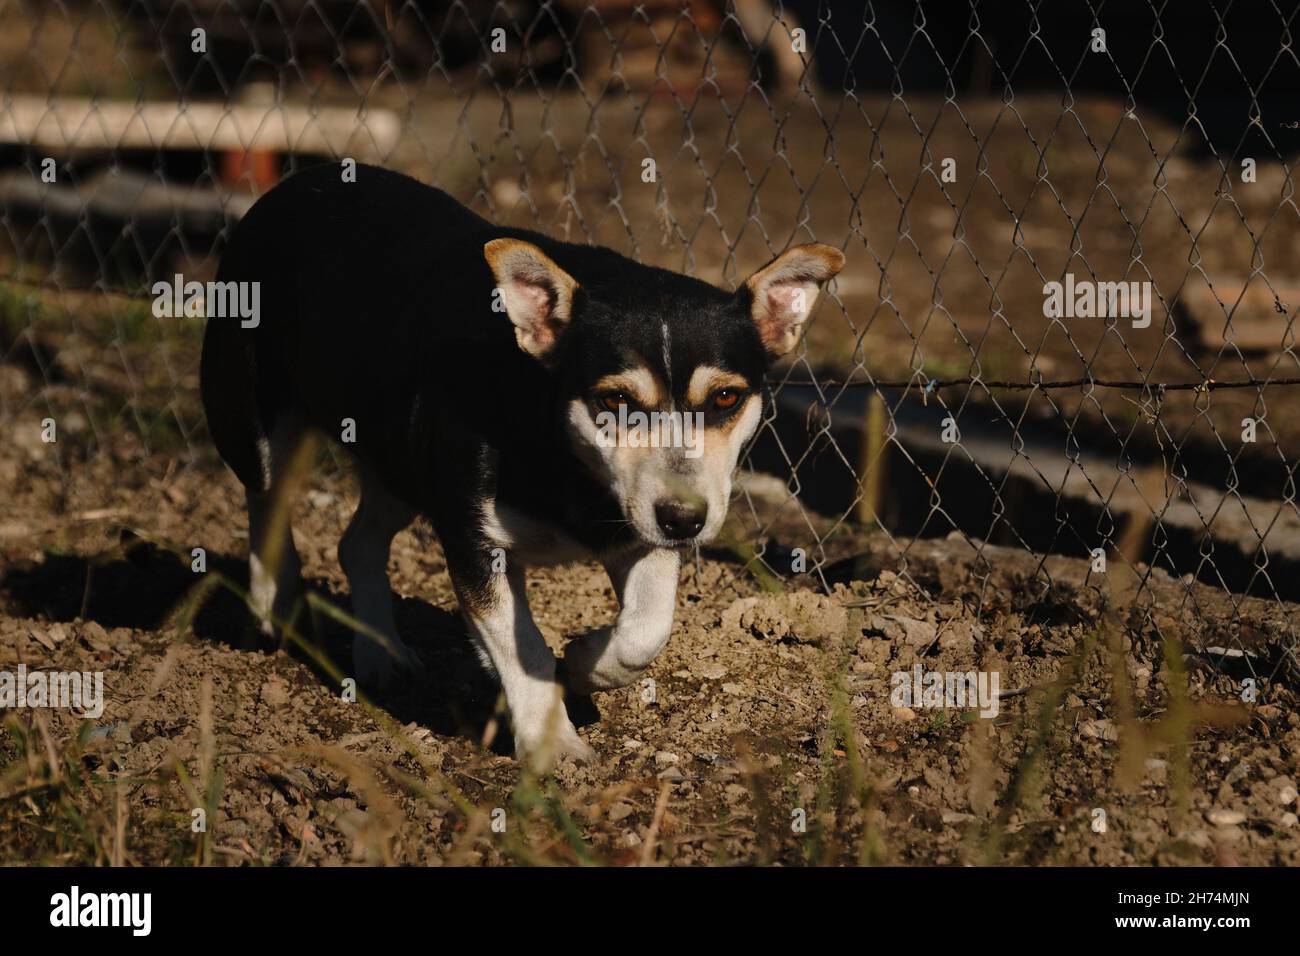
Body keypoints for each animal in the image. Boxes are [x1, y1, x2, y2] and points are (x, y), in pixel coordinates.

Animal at [196, 160, 837, 764]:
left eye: (726, 398)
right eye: (616, 401)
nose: (685, 520)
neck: (562, 451)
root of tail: (299, 182)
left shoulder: (639, 532)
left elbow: (646, 628)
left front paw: (584, 662)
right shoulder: (473, 541)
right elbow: (521, 643)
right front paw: (553, 743)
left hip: (403, 467)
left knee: (357, 544)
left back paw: (379, 653)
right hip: (256, 421)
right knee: (266, 500)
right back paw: (274, 602)